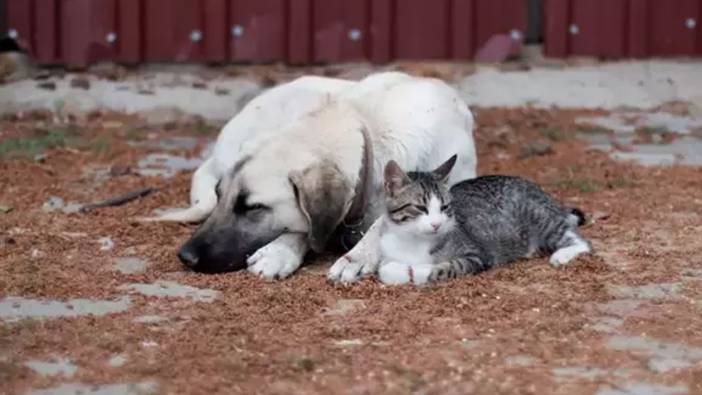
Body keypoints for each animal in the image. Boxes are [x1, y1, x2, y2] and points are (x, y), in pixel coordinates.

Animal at [146, 72, 482, 282]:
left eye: (253, 208)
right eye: (220, 195)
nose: (185, 256)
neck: (369, 129)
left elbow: (379, 223)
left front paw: (357, 256)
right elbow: (307, 226)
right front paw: (280, 250)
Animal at [376, 153, 592, 286]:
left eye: (445, 207)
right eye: (421, 208)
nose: (436, 224)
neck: (413, 240)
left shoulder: (477, 255)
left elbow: (444, 267)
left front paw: (420, 269)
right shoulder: (386, 253)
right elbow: (384, 270)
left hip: (540, 216)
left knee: (582, 242)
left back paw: (562, 254)